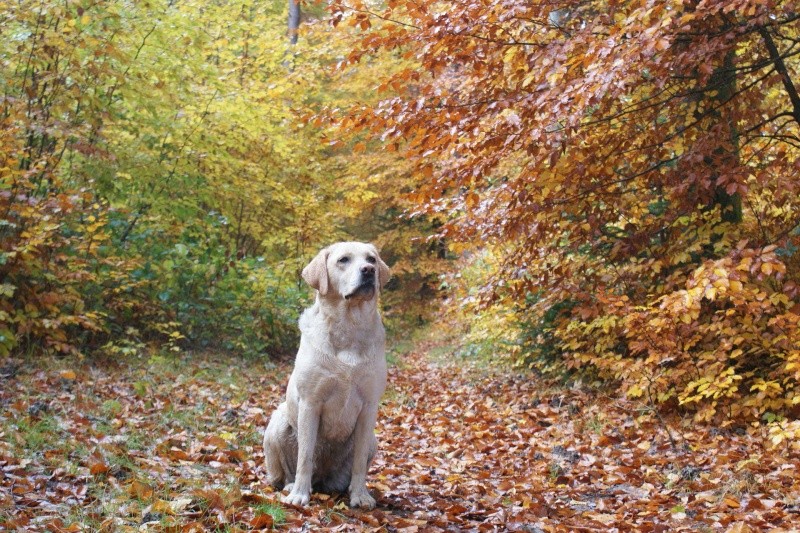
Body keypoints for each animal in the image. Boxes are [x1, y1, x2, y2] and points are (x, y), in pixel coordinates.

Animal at [266, 241, 390, 508]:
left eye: (372, 259)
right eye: (343, 260)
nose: (368, 271)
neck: (349, 327)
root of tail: (323, 481)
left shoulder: (369, 406)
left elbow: (359, 463)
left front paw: (360, 495)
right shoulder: (311, 402)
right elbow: (305, 456)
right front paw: (300, 495)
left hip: (373, 440)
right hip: (277, 422)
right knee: (285, 473)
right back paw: (291, 486)